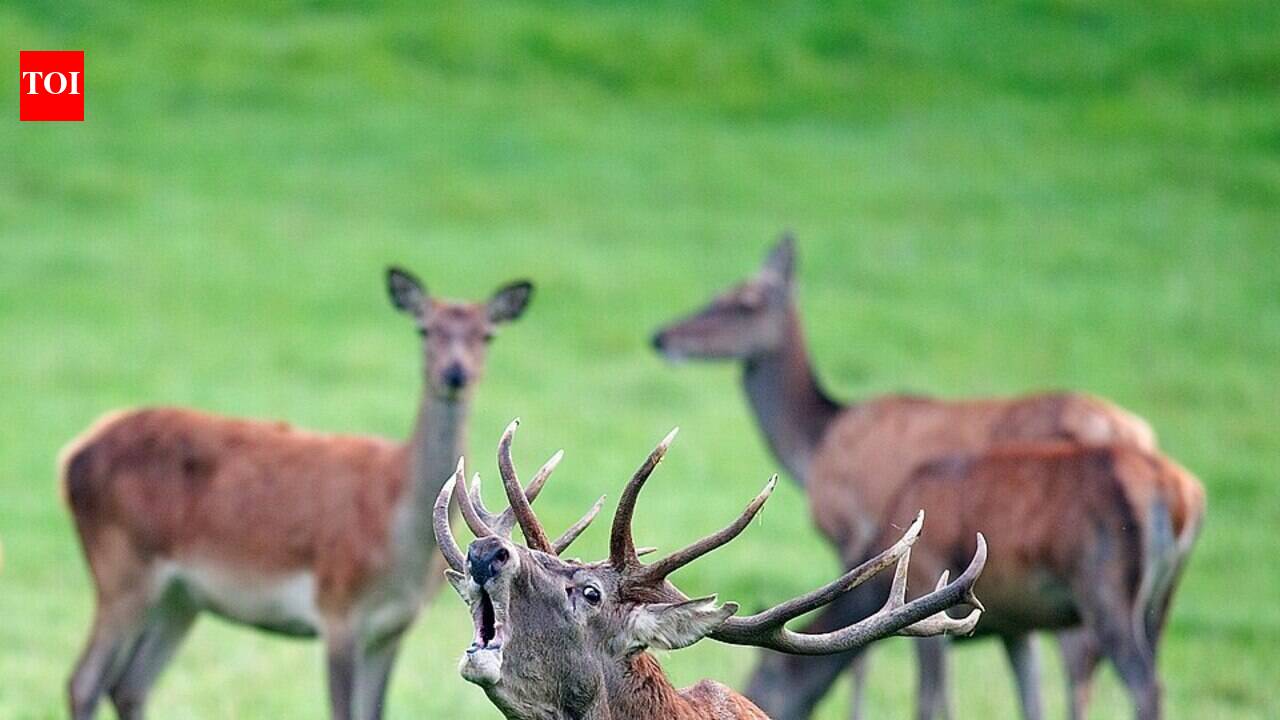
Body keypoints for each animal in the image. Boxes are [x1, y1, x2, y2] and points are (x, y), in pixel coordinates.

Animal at [60, 266, 534, 720]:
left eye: (487, 335)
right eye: (424, 328)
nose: (455, 374)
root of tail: (73, 455)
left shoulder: (393, 628)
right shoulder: (338, 608)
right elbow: (342, 712)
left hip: (180, 598)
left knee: (129, 685)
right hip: (121, 566)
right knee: (84, 681)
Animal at [651, 235, 1201, 720]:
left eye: (743, 301)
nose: (662, 336)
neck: (815, 444)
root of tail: (1178, 490)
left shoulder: (868, 539)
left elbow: (900, 678)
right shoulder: (1012, 623)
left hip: (1098, 587)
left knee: (1113, 673)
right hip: (1158, 601)